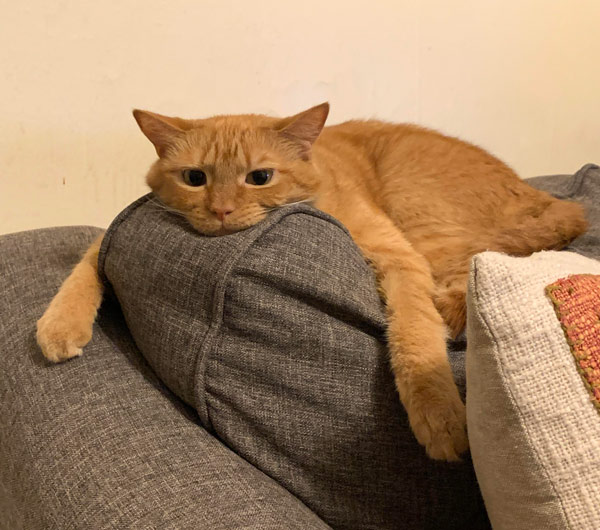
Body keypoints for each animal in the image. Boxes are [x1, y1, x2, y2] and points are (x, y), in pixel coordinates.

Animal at [36, 102, 584, 458]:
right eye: (195, 178)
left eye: (259, 177)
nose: (221, 211)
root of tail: (546, 196)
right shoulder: (115, 233)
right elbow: (87, 262)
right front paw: (59, 325)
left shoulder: (399, 256)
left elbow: (414, 333)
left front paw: (440, 413)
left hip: (423, 217)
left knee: (468, 275)